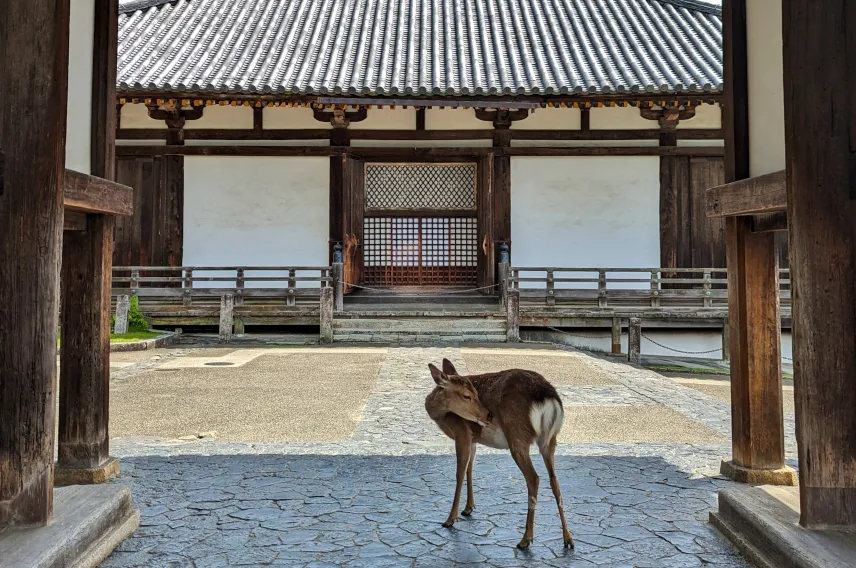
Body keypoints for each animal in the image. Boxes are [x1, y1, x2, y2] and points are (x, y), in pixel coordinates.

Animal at [424, 358, 574, 550]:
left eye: (473, 393)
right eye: (467, 395)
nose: (488, 416)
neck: (441, 417)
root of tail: (550, 398)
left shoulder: (462, 432)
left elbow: (459, 473)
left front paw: (450, 519)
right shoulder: (474, 438)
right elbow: (470, 468)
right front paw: (469, 508)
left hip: (517, 436)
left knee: (533, 478)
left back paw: (525, 539)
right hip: (549, 440)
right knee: (554, 480)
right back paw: (568, 539)